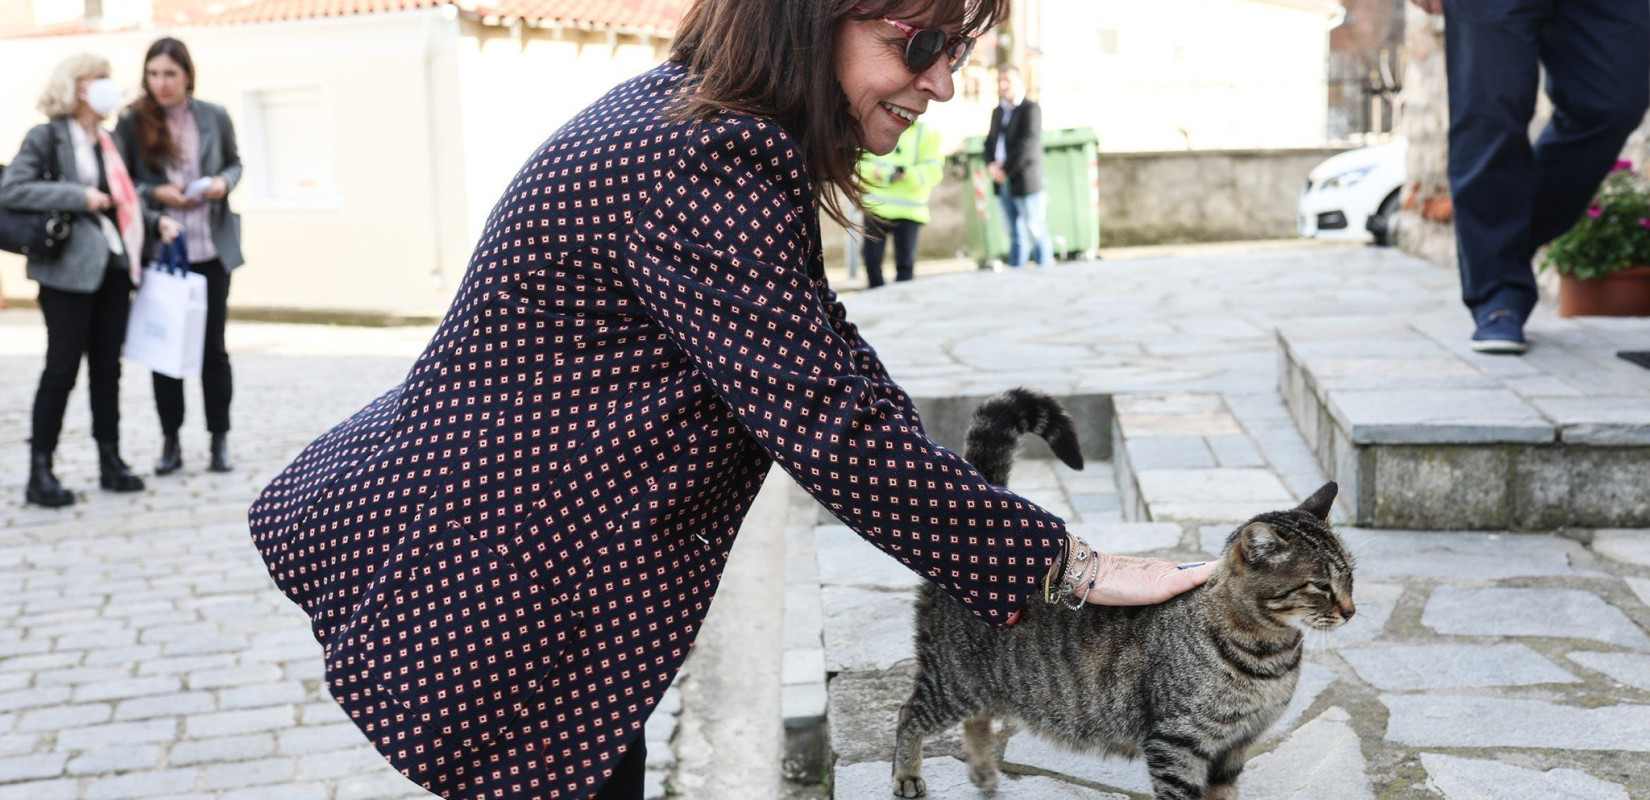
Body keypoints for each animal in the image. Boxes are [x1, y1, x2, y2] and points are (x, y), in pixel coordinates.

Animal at [891, 387, 1353, 798]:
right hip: (954, 680)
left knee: (978, 717)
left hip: (986, 685)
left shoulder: (1234, 747)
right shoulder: (1176, 743)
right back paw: (907, 775)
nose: (1350, 611)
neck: (1269, 656)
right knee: (908, 713)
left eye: (1350, 577)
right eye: (1320, 585)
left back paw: (984, 771)